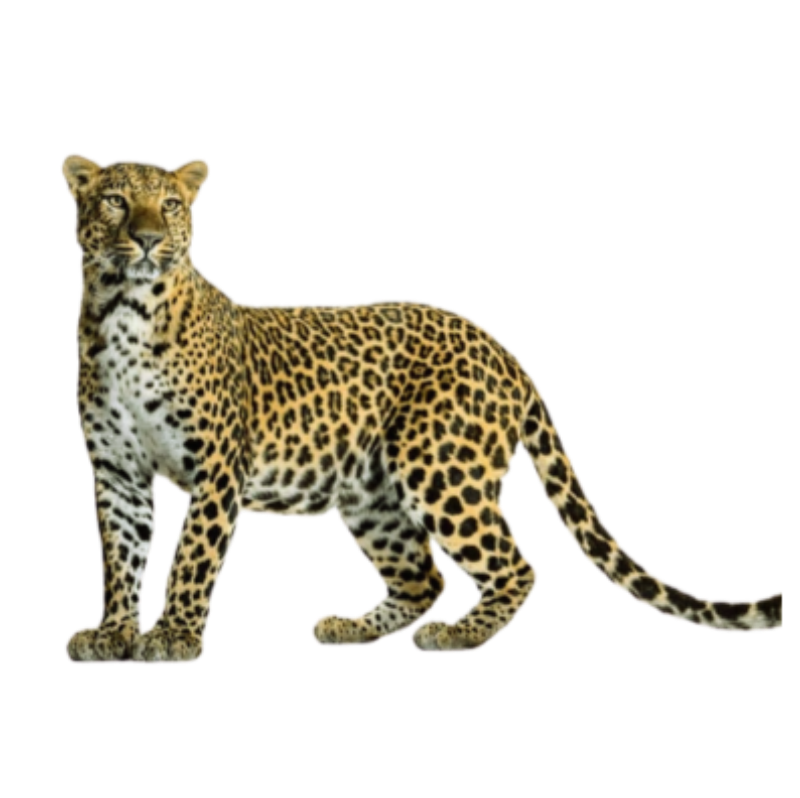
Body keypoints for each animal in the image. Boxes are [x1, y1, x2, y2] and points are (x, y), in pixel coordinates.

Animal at [61, 154, 783, 663]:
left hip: (439, 467)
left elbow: (190, 559)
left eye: (170, 205)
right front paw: (113, 633)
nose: (148, 239)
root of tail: (505, 348)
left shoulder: (215, 469)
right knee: (421, 576)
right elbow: (121, 555)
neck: (121, 313)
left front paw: (171, 637)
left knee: (516, 566)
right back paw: (352, 627)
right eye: (117, 201)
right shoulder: (119, 473)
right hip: (370, 489)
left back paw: (458, 634)